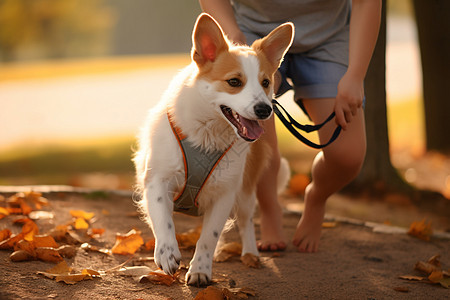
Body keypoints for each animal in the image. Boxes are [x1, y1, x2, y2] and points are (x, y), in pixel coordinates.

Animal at [133, 14, 296, 286]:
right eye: (234, 82)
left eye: (265, 82)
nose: (265, 110)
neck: (206, 137)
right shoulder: (156, 180)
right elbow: (163, 221)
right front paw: (167, 252)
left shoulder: (225, 194)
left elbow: (209, 236)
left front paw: (200, 269)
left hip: (245, 193)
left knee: (245, 222)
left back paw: (250, 253)